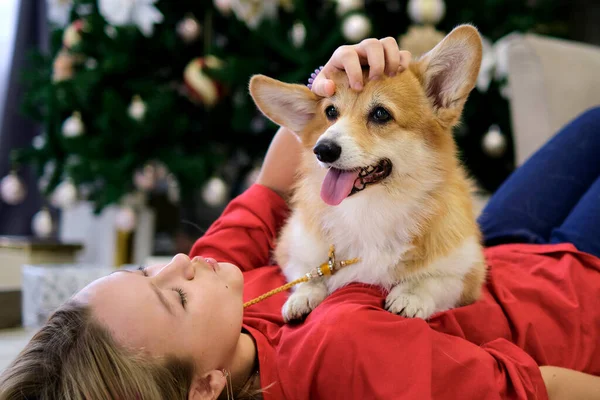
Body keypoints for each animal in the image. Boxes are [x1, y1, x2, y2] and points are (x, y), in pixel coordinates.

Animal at [248, 25, 488, 320]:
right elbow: (307, 274)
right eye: (330, 112)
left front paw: (410, 296)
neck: (369, 209)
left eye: (381, 114)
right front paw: (304, 296)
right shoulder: (292, 246)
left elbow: (434, 280)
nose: (322, 149)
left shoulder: (469, 270)